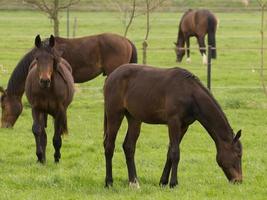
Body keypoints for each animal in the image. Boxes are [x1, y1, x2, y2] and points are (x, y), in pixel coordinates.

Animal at [25, 34, 75, 162]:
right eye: (37, 58)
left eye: (52, 59)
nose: (44, 80)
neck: (47, 90)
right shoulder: (36, 108)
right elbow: (37, 130)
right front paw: (40, 156)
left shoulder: (59, 111)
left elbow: (57, 137)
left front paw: (57, 158)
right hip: (43, 112)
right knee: (43, 133)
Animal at [103, 63, 244, 188]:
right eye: (238, 155)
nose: (238, 180)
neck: (189, 93)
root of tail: (110, 77)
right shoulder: (173, 122)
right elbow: (176, 152)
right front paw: (173, 183)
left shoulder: (184, 126)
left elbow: (170, 152)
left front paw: (163, 182)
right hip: (115, 114)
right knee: (109, 146)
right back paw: (109, 182)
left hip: (134, 118)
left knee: (129, 147)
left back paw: (134, 183)